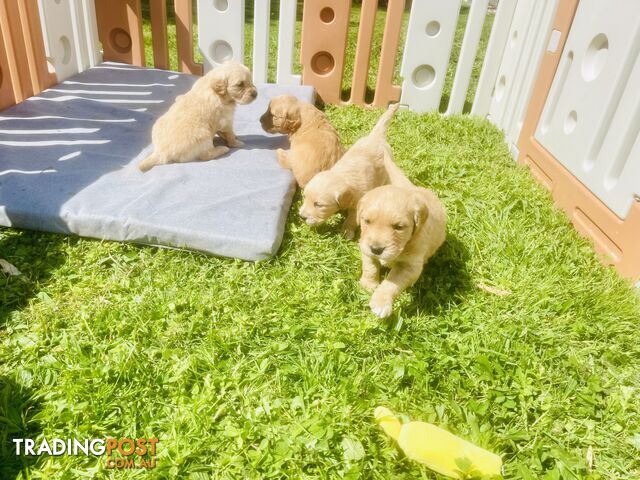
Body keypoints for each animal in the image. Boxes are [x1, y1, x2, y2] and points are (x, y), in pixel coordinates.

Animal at [300, 102, 404, 238]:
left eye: (319, 205)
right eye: (304, 197)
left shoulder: (358, 205)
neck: (342, 177)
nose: (301, 217)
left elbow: (351, 219)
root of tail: (376, 136)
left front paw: (346, 232)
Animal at [358, 185, 448, 318]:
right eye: (367, 221)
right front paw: (368, 285)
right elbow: (370, 267)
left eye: (399, 227)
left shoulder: (409, 267)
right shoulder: (365, 246)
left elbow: (391, 283)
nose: (376, 249)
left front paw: (380, 302)